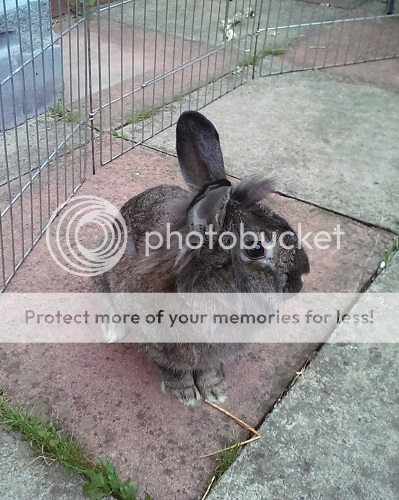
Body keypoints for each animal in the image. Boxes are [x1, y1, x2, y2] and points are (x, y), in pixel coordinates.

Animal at [95, 110, 310, 406]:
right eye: (255, 250)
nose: (302, 276)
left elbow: (210, 368)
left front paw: (215, 390)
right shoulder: (160, 344)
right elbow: (174, 369)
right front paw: (185, 394)